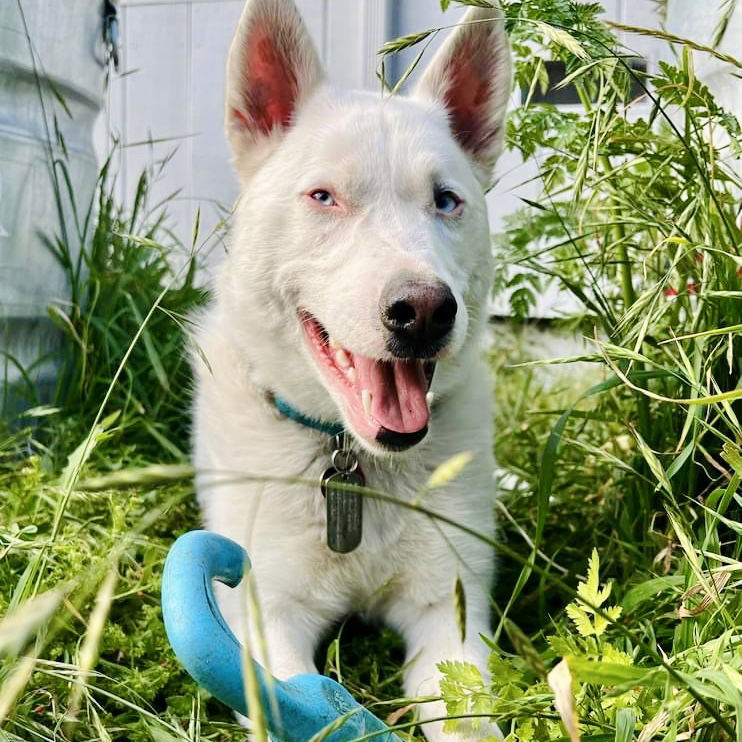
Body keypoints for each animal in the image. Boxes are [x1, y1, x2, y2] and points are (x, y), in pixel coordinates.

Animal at [193, 1, 512, 740]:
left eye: (446, 201)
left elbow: (467, 715)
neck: (353, 463)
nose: (423, 313)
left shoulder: (448, 612)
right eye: (324, 196)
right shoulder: (269, 616)